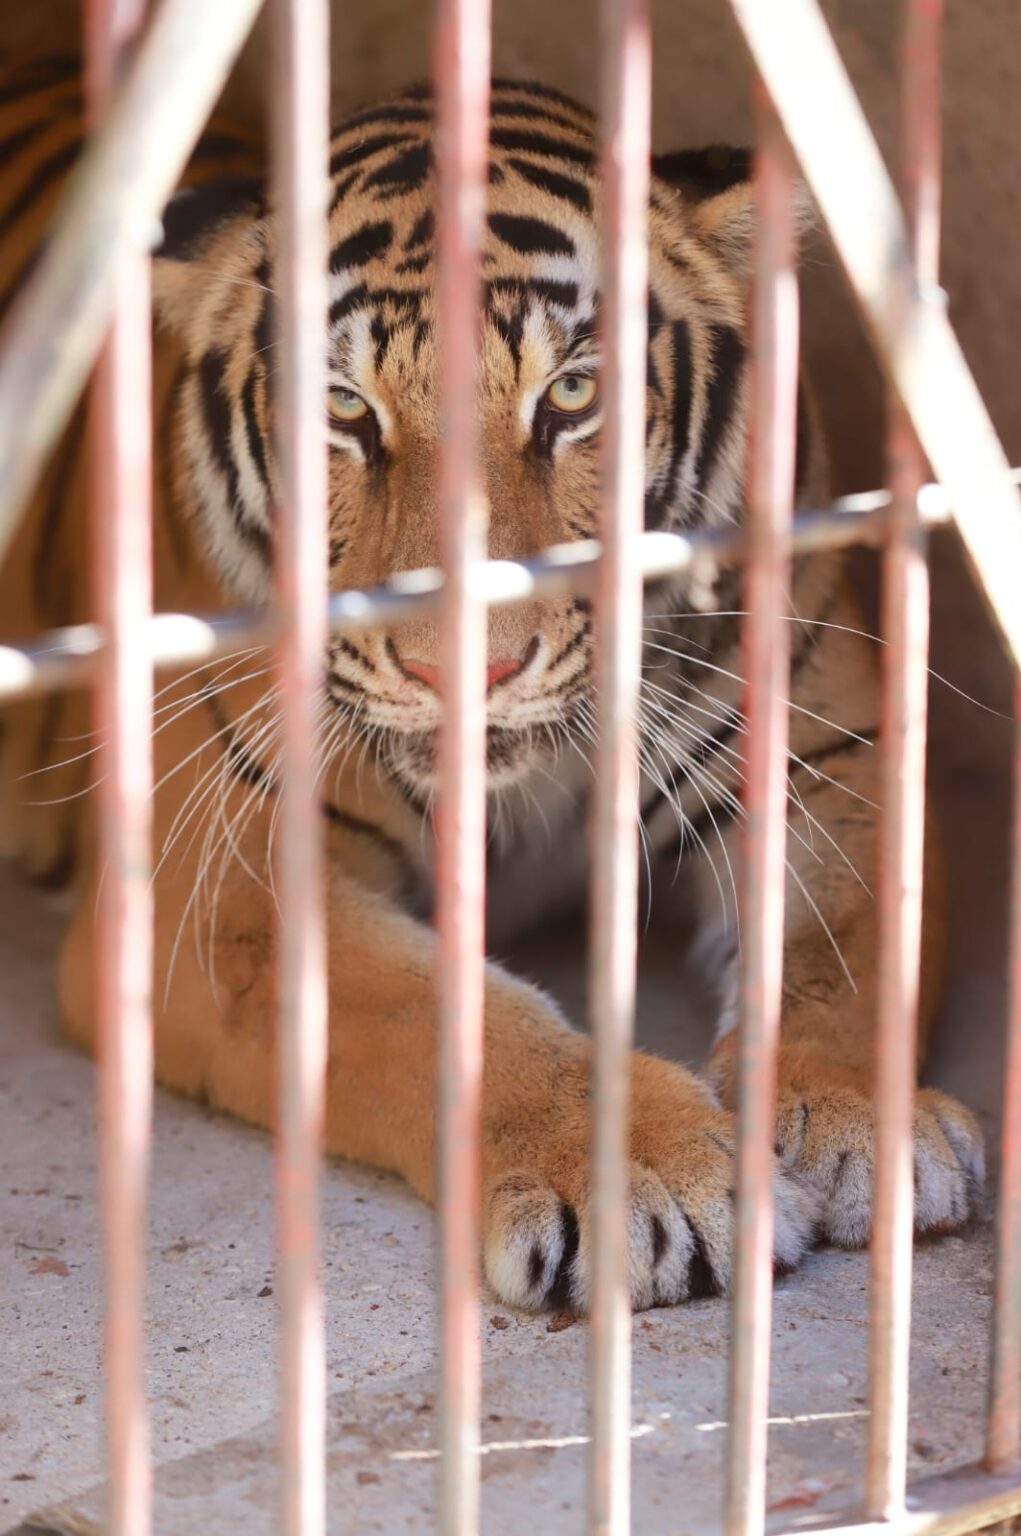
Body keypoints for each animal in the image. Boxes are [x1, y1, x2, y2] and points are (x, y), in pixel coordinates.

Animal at [0, 54, 985, 1314]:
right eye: (343, 409)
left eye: (569, 396)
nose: (463, 666)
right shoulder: (219, 895)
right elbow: (444, 1011)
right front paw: (641, 1173)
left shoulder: (828, 756)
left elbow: (848, 948)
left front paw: (865, 1119)